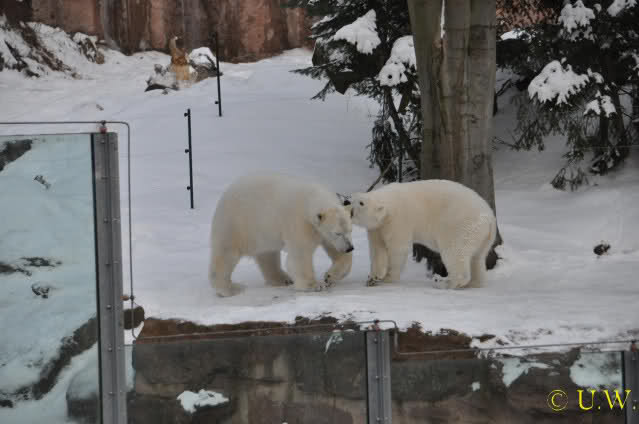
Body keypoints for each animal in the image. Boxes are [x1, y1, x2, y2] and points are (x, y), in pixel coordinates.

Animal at [208, 173, 354, 297]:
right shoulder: (299, 223)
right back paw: (230, 289)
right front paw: (314, 285)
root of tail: (226, 193)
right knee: (226, 255)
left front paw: (330, 276)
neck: (311, 198)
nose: (350, 248)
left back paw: (282, 279)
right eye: (337, 232)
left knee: (268, 254)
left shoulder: (323, 233)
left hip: (263, 230)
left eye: (350, 230)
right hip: (237, 223)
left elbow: (335, 250)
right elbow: (300, 255)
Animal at [350, 179, 497, 289]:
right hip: (482, 237)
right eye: (351, 198)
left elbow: (397, 249)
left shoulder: (398, 220)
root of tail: (490, 219)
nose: (346, 201)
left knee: (455, 252)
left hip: (460, 226)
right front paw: (372, 278)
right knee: (477, 258)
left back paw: (443, 282)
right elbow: (377, 250)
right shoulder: (377, 228)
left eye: (361, 202)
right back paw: (474, 283)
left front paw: (388, 278)